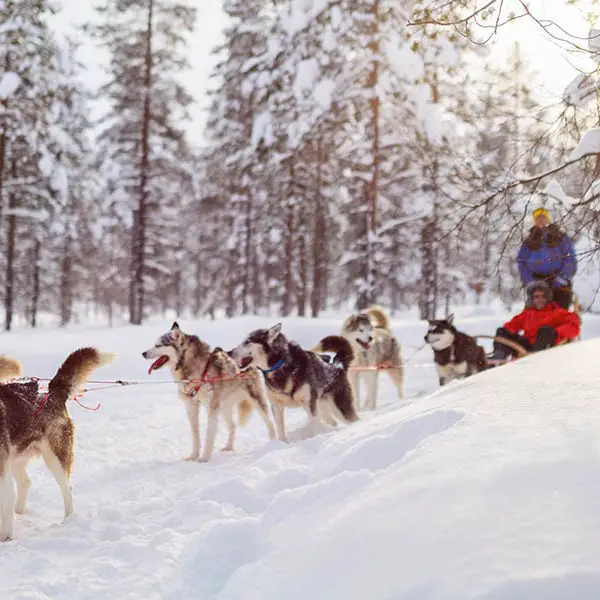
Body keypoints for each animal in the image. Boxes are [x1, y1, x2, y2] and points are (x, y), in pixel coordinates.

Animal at [0, 346, 114, 540]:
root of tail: (52, 392)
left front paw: (7, 538)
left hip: (54, 458)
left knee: (67, 488)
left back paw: (68, 520)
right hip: (15, 459)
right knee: (26, 482)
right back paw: (20, 512)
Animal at [143, 322, 276, 462]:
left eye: (158, 345)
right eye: (155, 344)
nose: (143, 353)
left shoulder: (212, 407)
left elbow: (209, 435)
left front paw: (205, 458)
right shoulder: (191, 406)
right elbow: (195, 435)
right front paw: (193, 456)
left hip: (256, 401)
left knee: (270, 423)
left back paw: (273, 443)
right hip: (224, 407)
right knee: (233, 426)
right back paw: (228, 447)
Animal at [229, 324, 358, 440]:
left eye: (247, 341)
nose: (229, 352)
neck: (280, 364)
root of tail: (337, 366)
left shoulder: (309, 405)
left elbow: (315, 426)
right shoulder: (277, 406)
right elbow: (280, 431)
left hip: (340, 409)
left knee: (353, 419)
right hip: (323, 408)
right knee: (332, 422)